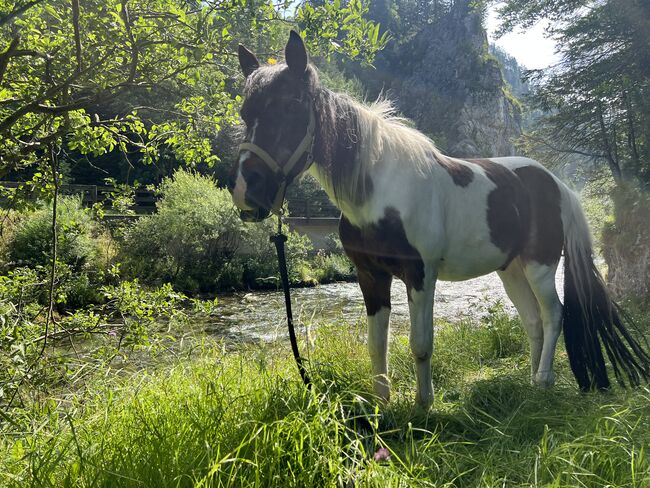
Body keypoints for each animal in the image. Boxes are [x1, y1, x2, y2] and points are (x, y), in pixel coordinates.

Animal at [229, 28, 648, 406]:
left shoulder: (420, 274)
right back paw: (531, 383)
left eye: (290, 106)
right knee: (531, 320)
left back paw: (544, 380)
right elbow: (376, 346)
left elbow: (420, 343)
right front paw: (382, 409)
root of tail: (557, 184)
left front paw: (423, 407)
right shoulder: (370, 276)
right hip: (510, 269)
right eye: (245, 113)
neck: (380, 196)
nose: (247, 192)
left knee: (552, 315)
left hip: (540, 265)